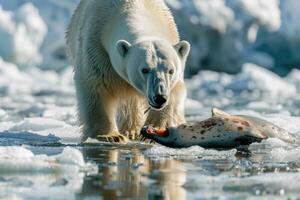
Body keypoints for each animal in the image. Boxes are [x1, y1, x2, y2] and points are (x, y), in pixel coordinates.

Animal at [67, 0, 191, 143]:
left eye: (171, 70)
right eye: (144, 70)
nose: (159, 98)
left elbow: (175, 90)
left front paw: (155, 131)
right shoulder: (96, 48)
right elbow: (96, 88)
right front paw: (110, 136)